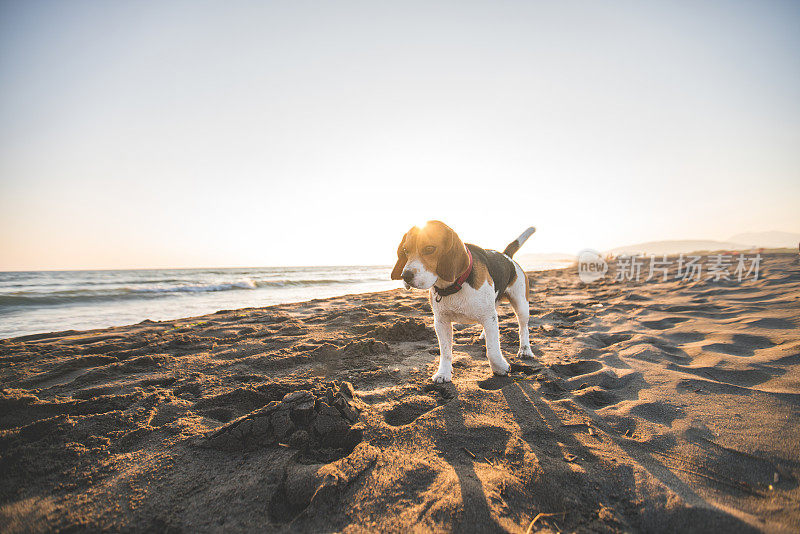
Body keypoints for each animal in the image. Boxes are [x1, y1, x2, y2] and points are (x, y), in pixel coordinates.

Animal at [392, 223, 536, 386]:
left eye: (429, 248)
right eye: (405, 250)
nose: (405, 276)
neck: (453, 286)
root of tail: (506, 256)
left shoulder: (489, 317)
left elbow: (493, 349)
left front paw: (500, 368)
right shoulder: (441, 322)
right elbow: (445, 351)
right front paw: (443, 373)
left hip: (521, 304)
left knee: (523, 328)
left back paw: (525, 350)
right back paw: (484, 335)